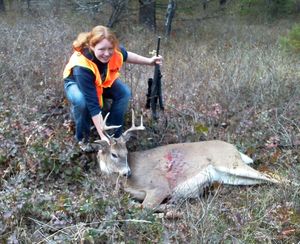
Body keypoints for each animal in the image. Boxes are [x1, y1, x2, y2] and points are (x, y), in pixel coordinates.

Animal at [94, 109, 278, 209]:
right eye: (114, 154)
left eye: (126, 152)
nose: (127, 172)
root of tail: (234, 149)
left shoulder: (160, 186)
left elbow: (145, 207)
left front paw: (170, 206)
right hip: (231, 177)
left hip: (229, 162)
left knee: (275, 177)